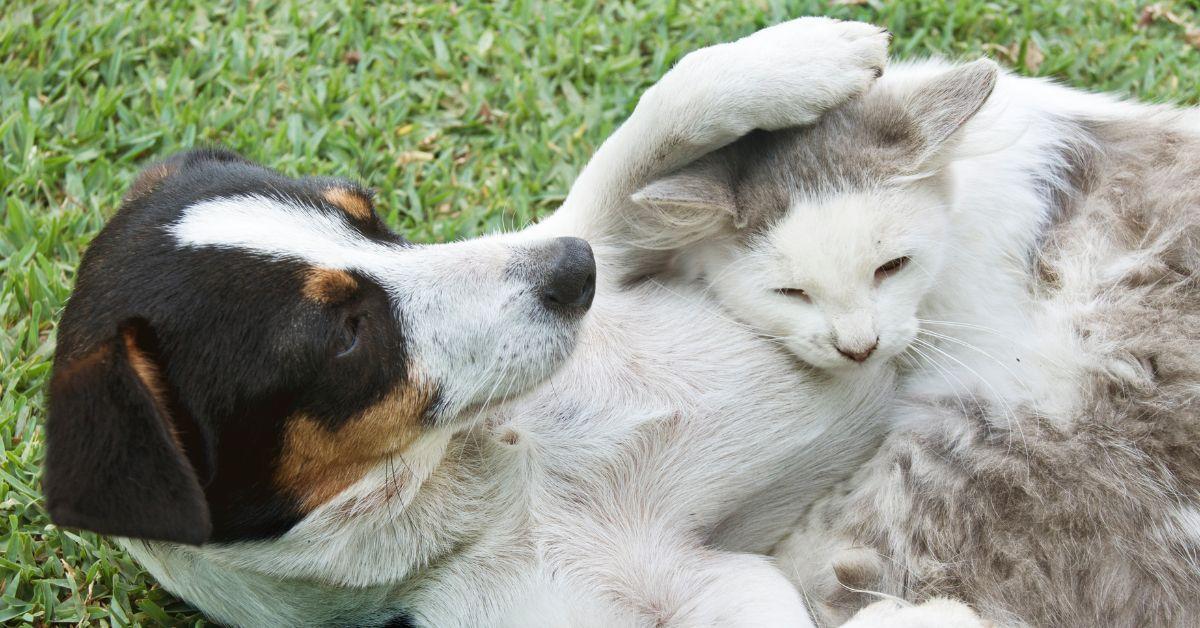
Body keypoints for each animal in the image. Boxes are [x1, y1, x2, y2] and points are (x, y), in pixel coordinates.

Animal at [44, 18, 892, 628]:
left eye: (368, 213)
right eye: (345, 334)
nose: (573, 271)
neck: (489, 466)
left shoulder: (603, 237)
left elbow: (649, 131)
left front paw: (799, 54)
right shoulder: (686, 588)